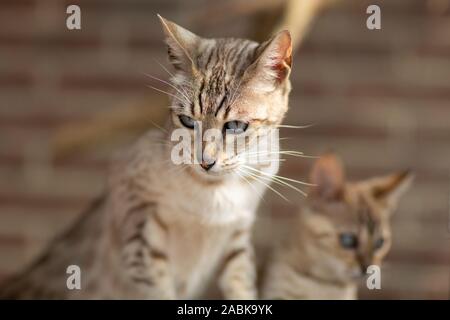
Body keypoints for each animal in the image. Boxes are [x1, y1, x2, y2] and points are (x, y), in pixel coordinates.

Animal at [0, 15, 294, 300]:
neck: (214, 192)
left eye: (235, 126)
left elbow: (241, 285)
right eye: (188, 121)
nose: (205, 161)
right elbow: (157, 288)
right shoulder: (139, 225)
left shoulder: (238, 235)